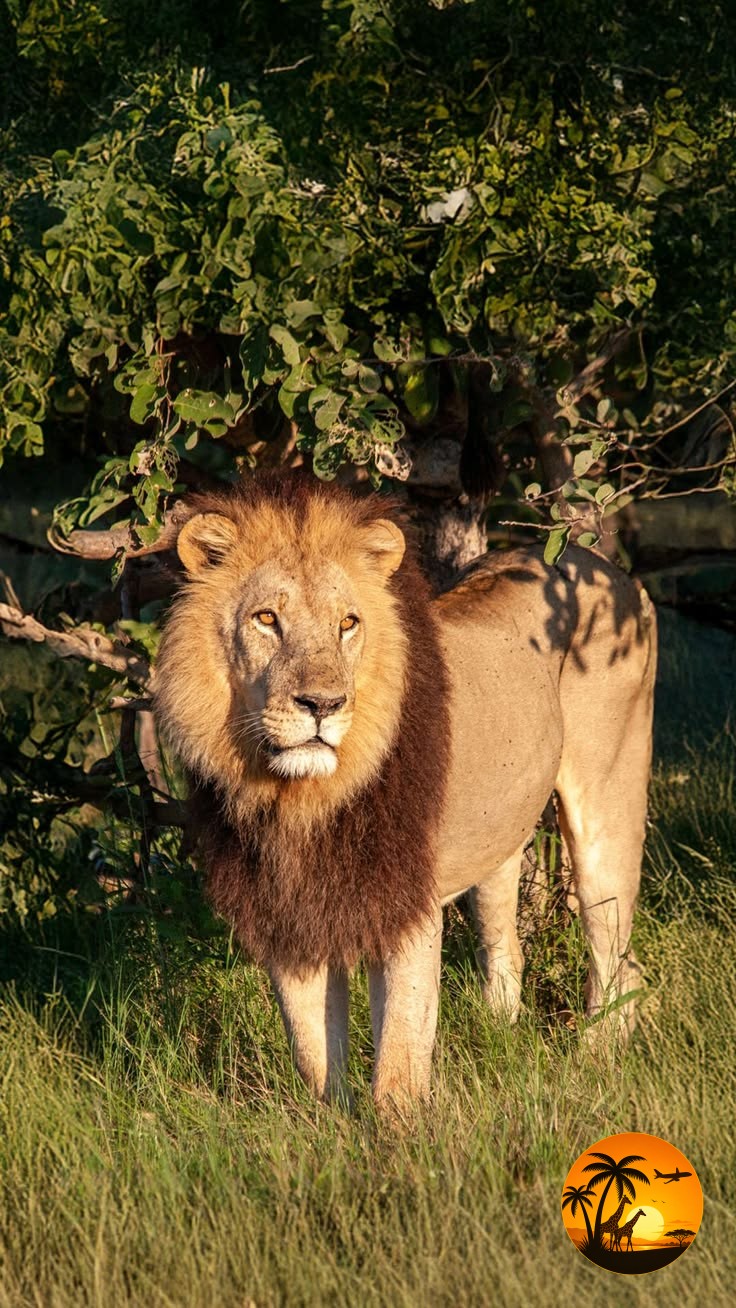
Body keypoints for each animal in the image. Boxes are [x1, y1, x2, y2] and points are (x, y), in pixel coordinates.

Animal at [155, 472, 656, 1109]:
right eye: (266, 619)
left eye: (348, 623)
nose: (322, 704)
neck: (304, 801)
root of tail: (605, 568)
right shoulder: (288, 916)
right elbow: (313, 1054)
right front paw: (331, 1124)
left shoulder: (407, 905)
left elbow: (397, 1054)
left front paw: (400, 1131)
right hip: (497, 834)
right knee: (507, 944)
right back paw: (501, 1034)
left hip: (607, 805)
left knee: (615, 952)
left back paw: (595, 1064)